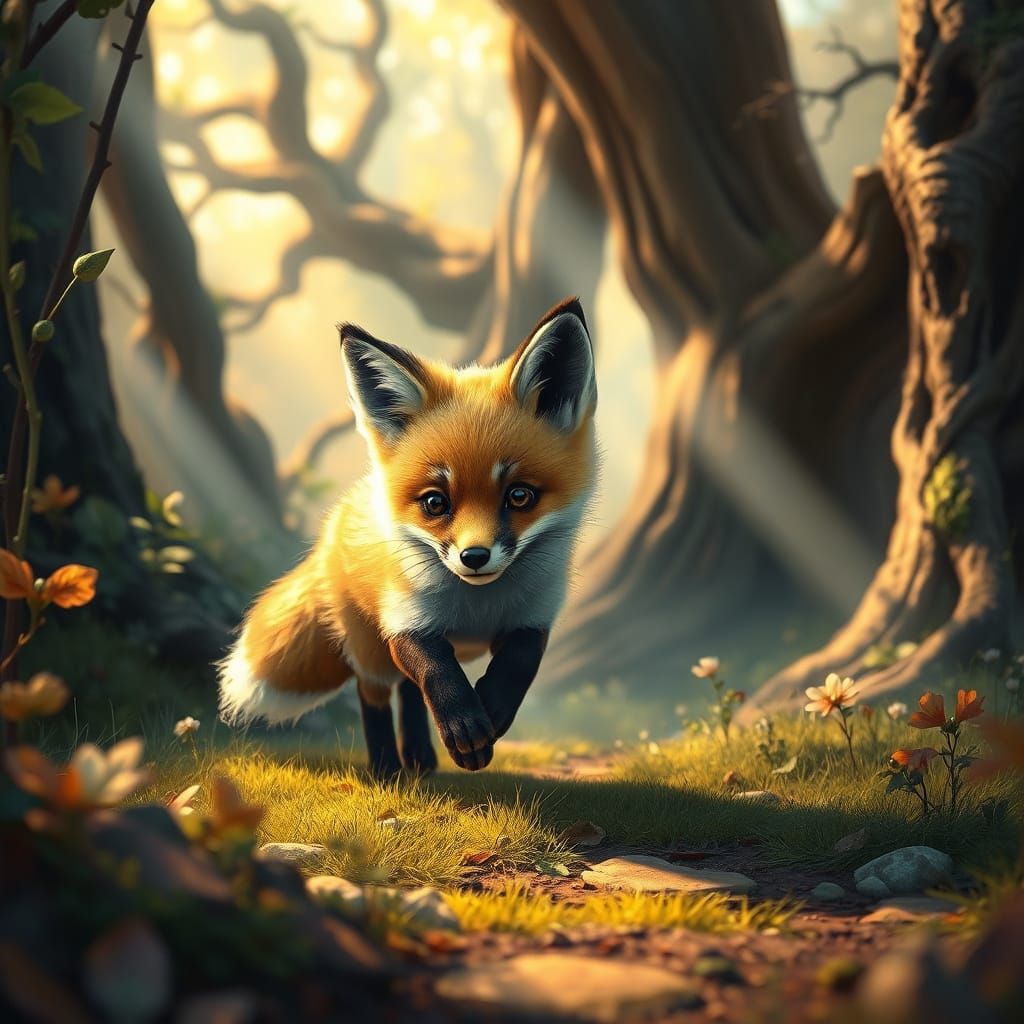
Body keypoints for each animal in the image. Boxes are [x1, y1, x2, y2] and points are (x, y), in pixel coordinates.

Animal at [218, 297, 597, 777]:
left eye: (519, 495)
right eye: (435, 502)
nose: (474, 556)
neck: (475, 608)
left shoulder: (535, 615)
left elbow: (520, 662)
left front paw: (490, 710)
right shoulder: (404, 619)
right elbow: (436, 671)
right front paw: (465, 726)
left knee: (409, 692)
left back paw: (420, 756)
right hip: (368, 648)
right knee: (376, 695)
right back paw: (386, 767)